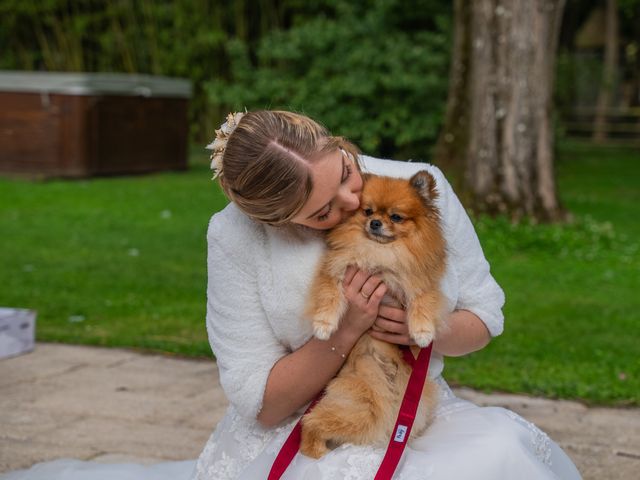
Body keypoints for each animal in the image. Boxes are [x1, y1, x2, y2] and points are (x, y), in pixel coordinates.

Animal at [302, 171, 448, 460]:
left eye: (396, 217)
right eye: (367, 211)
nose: (375, 222)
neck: (381, 254)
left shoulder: (418, 282)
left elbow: (423, 301)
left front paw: (422, 332)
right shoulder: (337, 270)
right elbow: (328, 295)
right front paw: (323, 326)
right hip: (360, 408)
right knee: (309, 422)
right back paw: (316, 452)